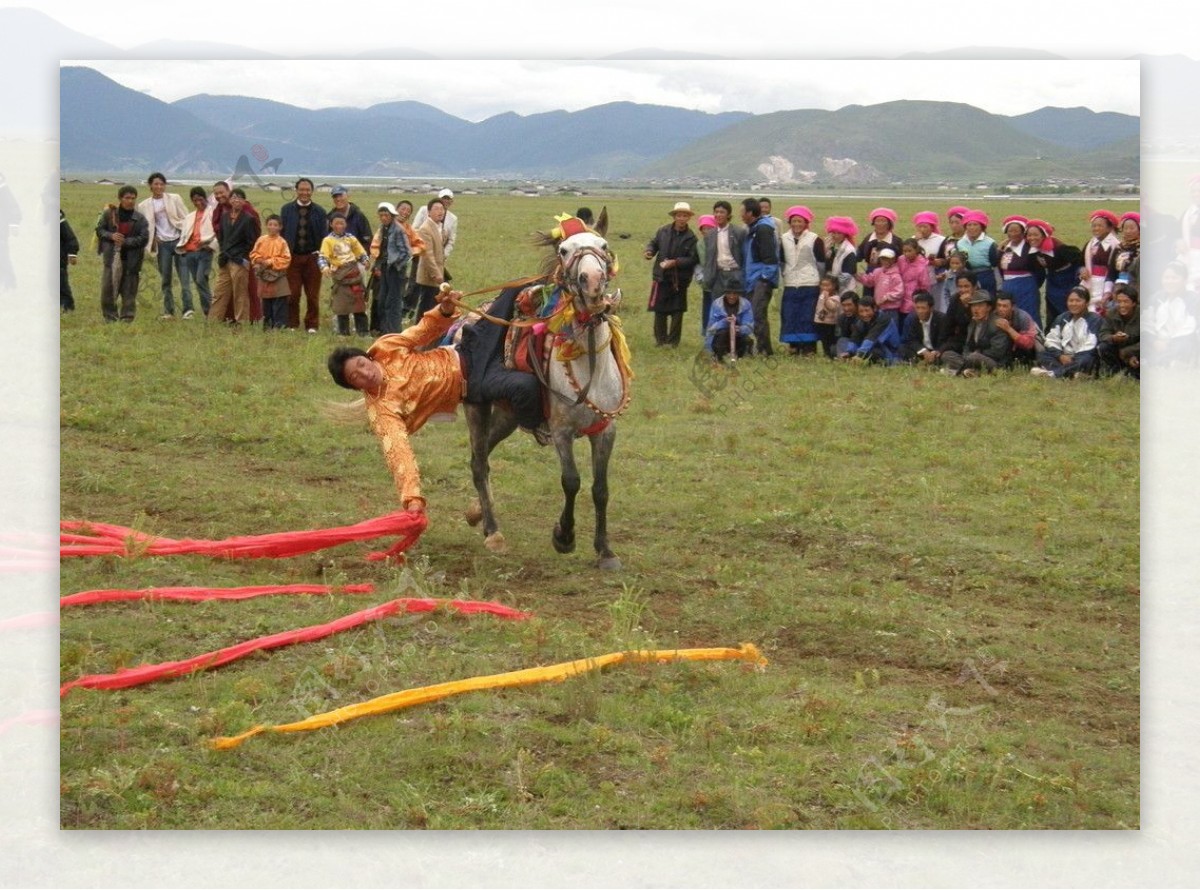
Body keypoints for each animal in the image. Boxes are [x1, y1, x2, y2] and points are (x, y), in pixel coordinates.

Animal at [460, 212, 633, 568]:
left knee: (482, 455)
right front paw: (564, 537)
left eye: (603, 245)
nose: (593, 282)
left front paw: (605, 550)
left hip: (509, 416)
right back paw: (492, 531)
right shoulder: (562, 431)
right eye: (564, 250)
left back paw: (476, 513)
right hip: (477, 408)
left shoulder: (605, 430)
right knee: (480, 462)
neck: (589, 366)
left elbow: (601, 489)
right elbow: (572, 481)